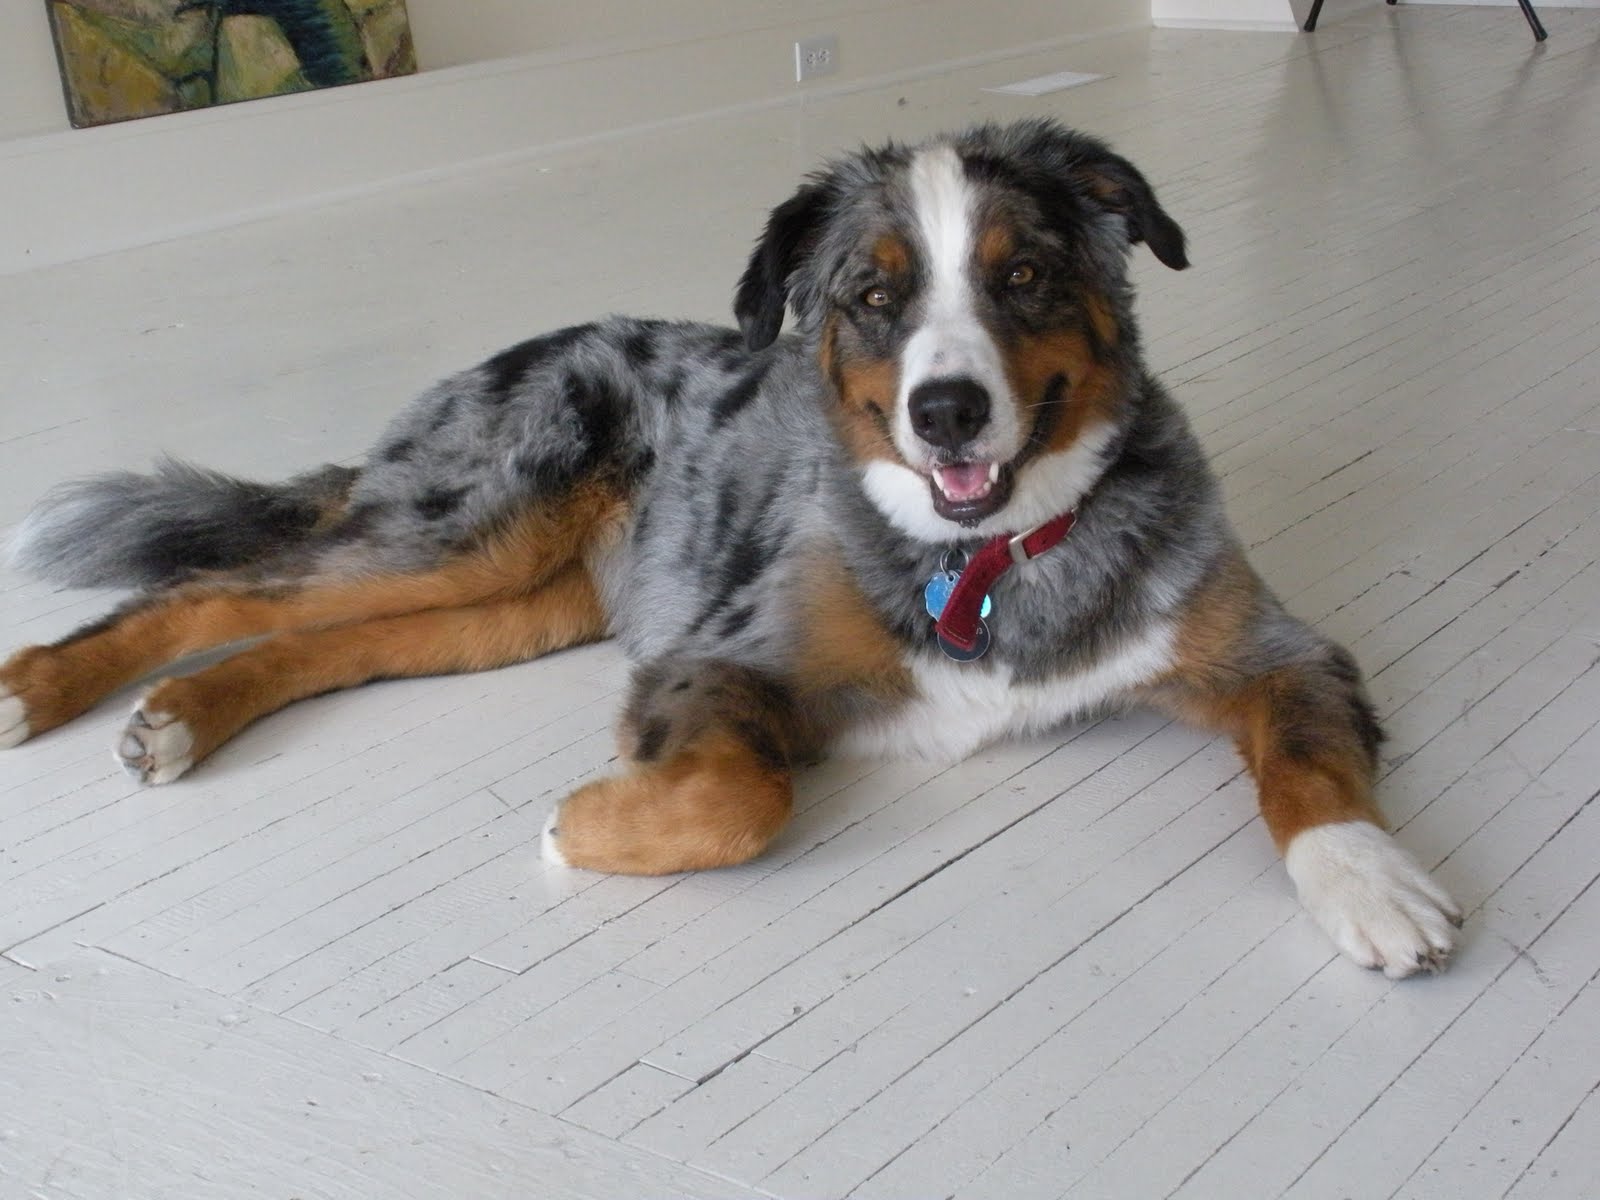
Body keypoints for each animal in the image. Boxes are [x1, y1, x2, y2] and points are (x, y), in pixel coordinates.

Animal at [0, 119, 1461, 978]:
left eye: (1025, 276)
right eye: (872, 296)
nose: (947, 410)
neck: (990, 559)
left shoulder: (1274, 646)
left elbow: (1308, 757)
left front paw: (1373, 880)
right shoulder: (720, 655)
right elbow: (743, 796)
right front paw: (588, 822)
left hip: (504, 605)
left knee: (321, 642)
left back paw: (182, 716)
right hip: (468, 526)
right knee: (219, 588)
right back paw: (51, 687)